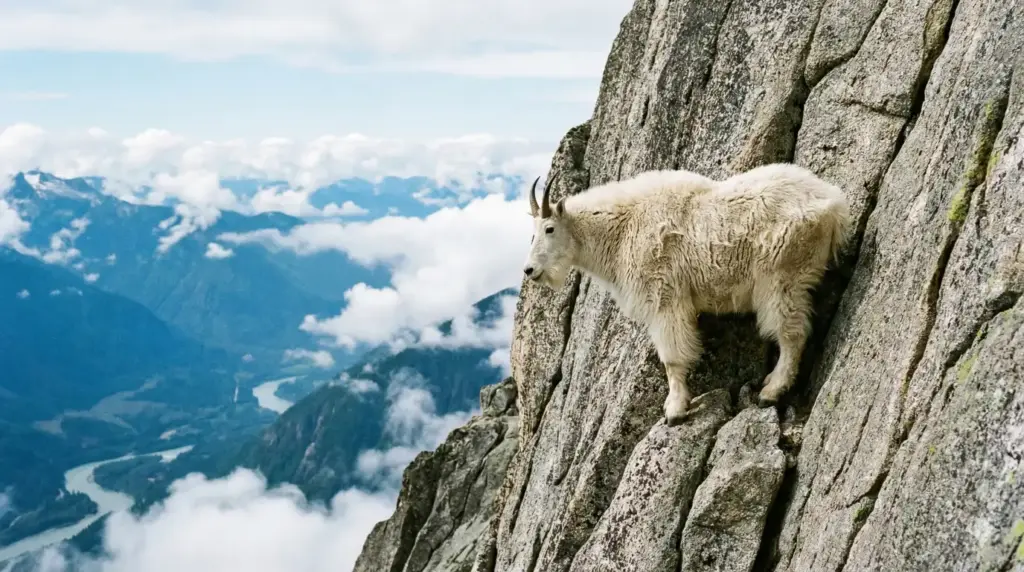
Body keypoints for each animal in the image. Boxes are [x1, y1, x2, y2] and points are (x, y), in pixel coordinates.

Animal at [522, 163, 852, 425]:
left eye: (550, 229)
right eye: (532, 232)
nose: (529, 270)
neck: (622, 229)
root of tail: (835, 205)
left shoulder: (665, 299)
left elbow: (672, 359)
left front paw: (675, 410)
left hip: (782, 276)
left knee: (792, 333)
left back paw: (772, 392)